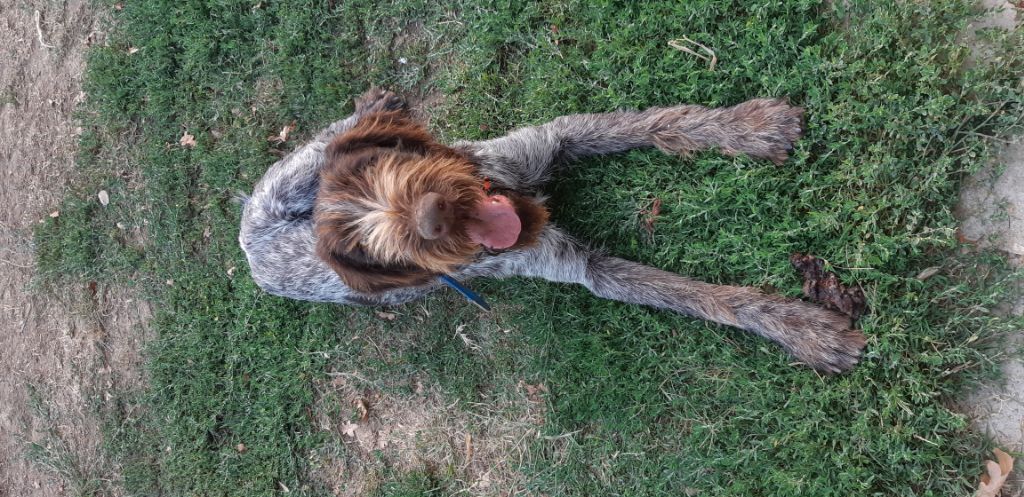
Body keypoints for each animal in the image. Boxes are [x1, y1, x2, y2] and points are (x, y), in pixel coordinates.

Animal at [237, 88, 864, 373]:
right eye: (376, 251)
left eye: (377, 170)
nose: (432, 218)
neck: (515, 194)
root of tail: (249, 256)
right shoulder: (585, 268)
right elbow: (699, 296)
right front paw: (804, 329)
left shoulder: (556, 139)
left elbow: (660, 124)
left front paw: (748, 128)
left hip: (297, 172)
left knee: (327, 136)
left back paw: (374, 102)